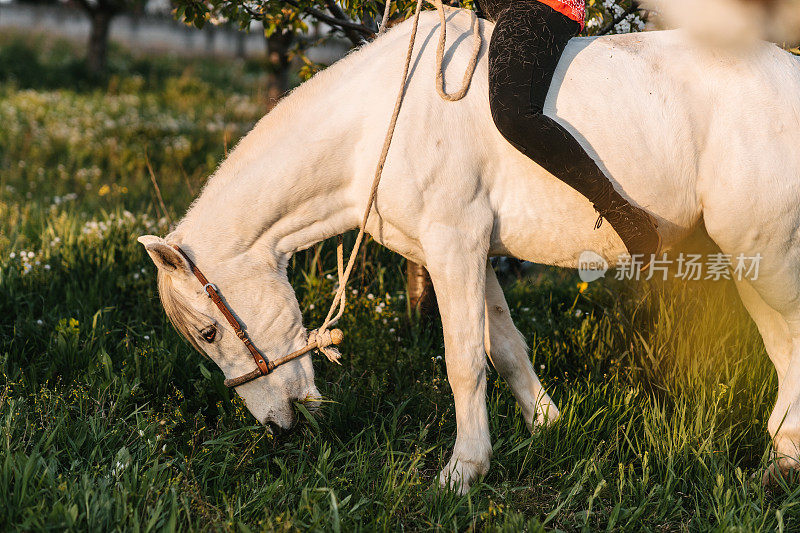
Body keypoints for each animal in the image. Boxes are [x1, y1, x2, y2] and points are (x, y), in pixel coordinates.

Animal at [141, 9, 800, 490]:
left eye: (208, 333)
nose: (280, 429)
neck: (376, 123)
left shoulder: (452, 242)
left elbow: (462, 360)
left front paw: (464, 471)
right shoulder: (467, 251)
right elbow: (502, 346)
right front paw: (545, 425)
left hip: (765, 249)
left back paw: (784, 458)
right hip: (745, 254)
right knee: (781, 340)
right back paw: (782, 447)